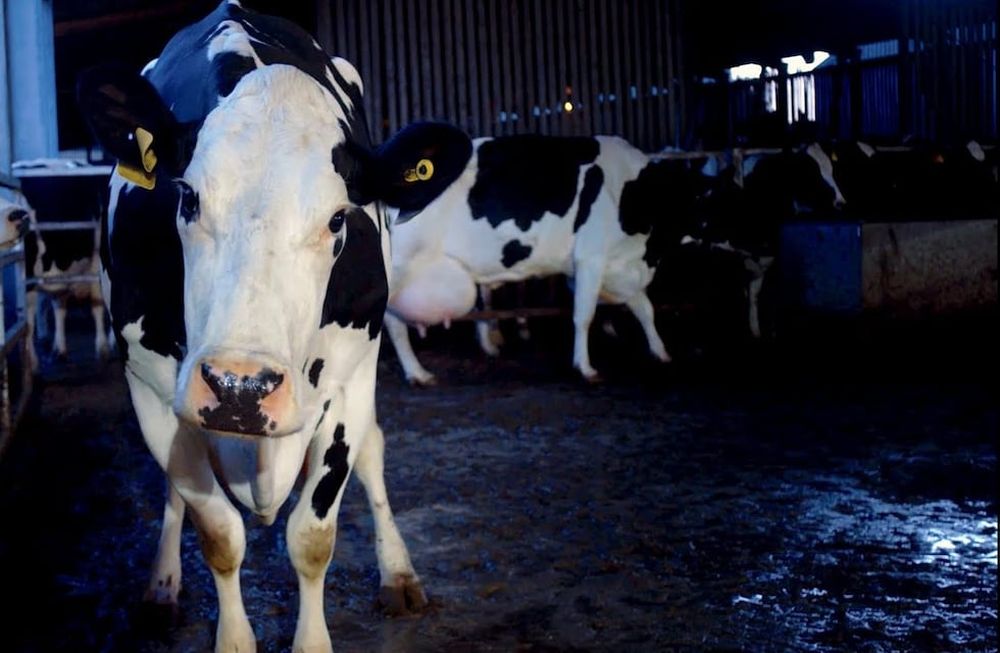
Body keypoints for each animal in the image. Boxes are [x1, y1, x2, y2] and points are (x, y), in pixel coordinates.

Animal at [76, 3, 467, 651]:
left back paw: (399, 574)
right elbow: (217, 532)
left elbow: (311, 536)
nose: (240, 386)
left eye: (337, 219)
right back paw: (161, 588)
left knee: (373, 452)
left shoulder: (345, 382)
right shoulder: (151, 386)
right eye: (188, 199)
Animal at [381, 131, 706, 384]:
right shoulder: (590, 258)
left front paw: (661, 352)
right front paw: (585, 368)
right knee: (392, 325)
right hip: (398, 269)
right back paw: (415, 374)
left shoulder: (619, 267)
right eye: (707, 199)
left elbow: (645, 309)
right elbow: (584, 316)